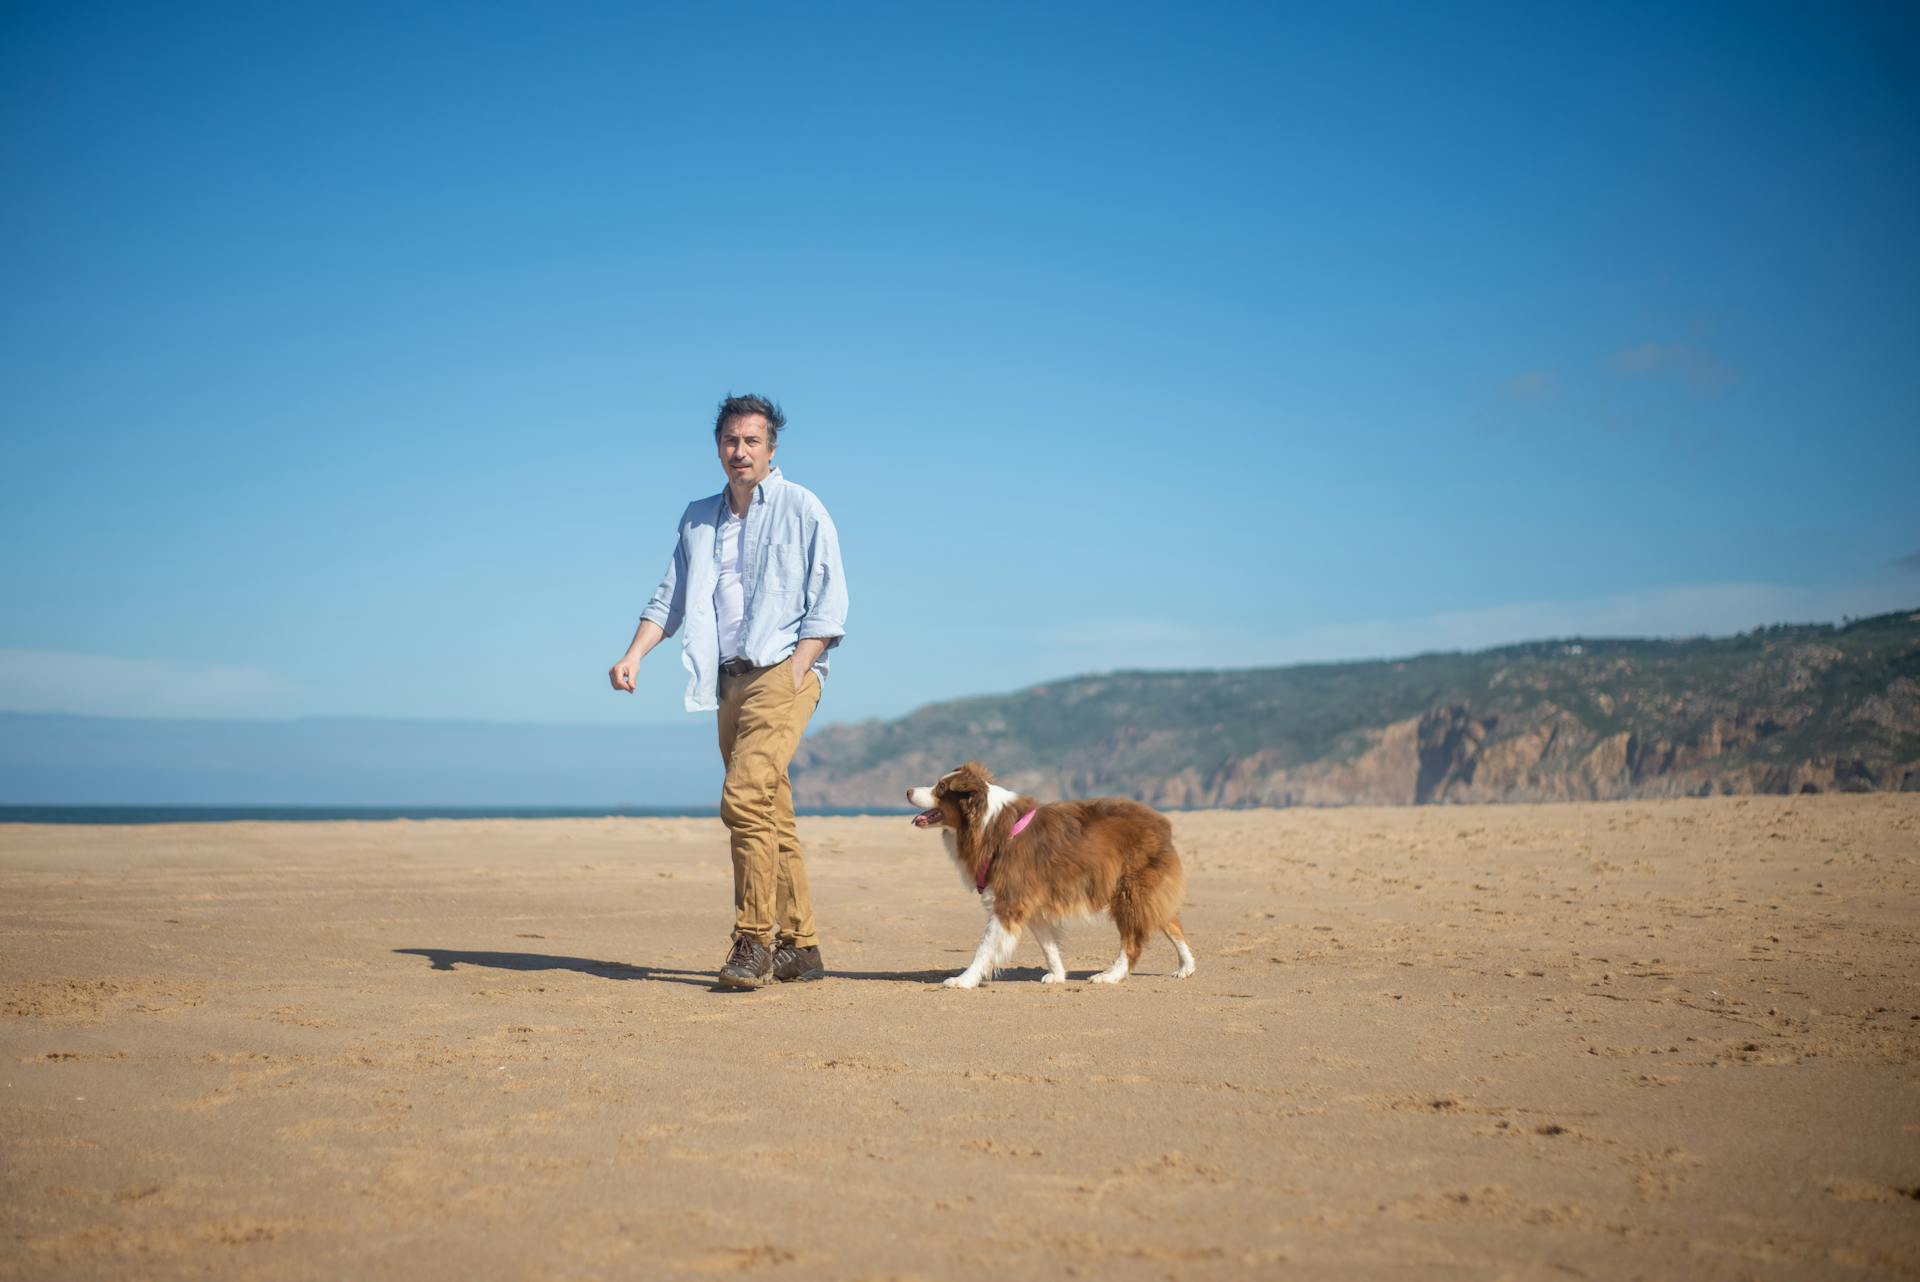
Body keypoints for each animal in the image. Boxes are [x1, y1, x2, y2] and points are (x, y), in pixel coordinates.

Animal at [906, 759, 1190, 990]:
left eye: (941, 787)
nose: (908, 791)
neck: (987, 824)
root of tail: (1162, 823)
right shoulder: (1032, 901)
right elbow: (1048, 945)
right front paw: (1058, 975)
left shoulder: (1009, 900)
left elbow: (984, 947)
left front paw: (964, 980)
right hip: (1145, 891)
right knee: (1171, 922)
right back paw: (1186, 967)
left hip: (1129, 890)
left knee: (1133, 940)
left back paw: (1110, 975)